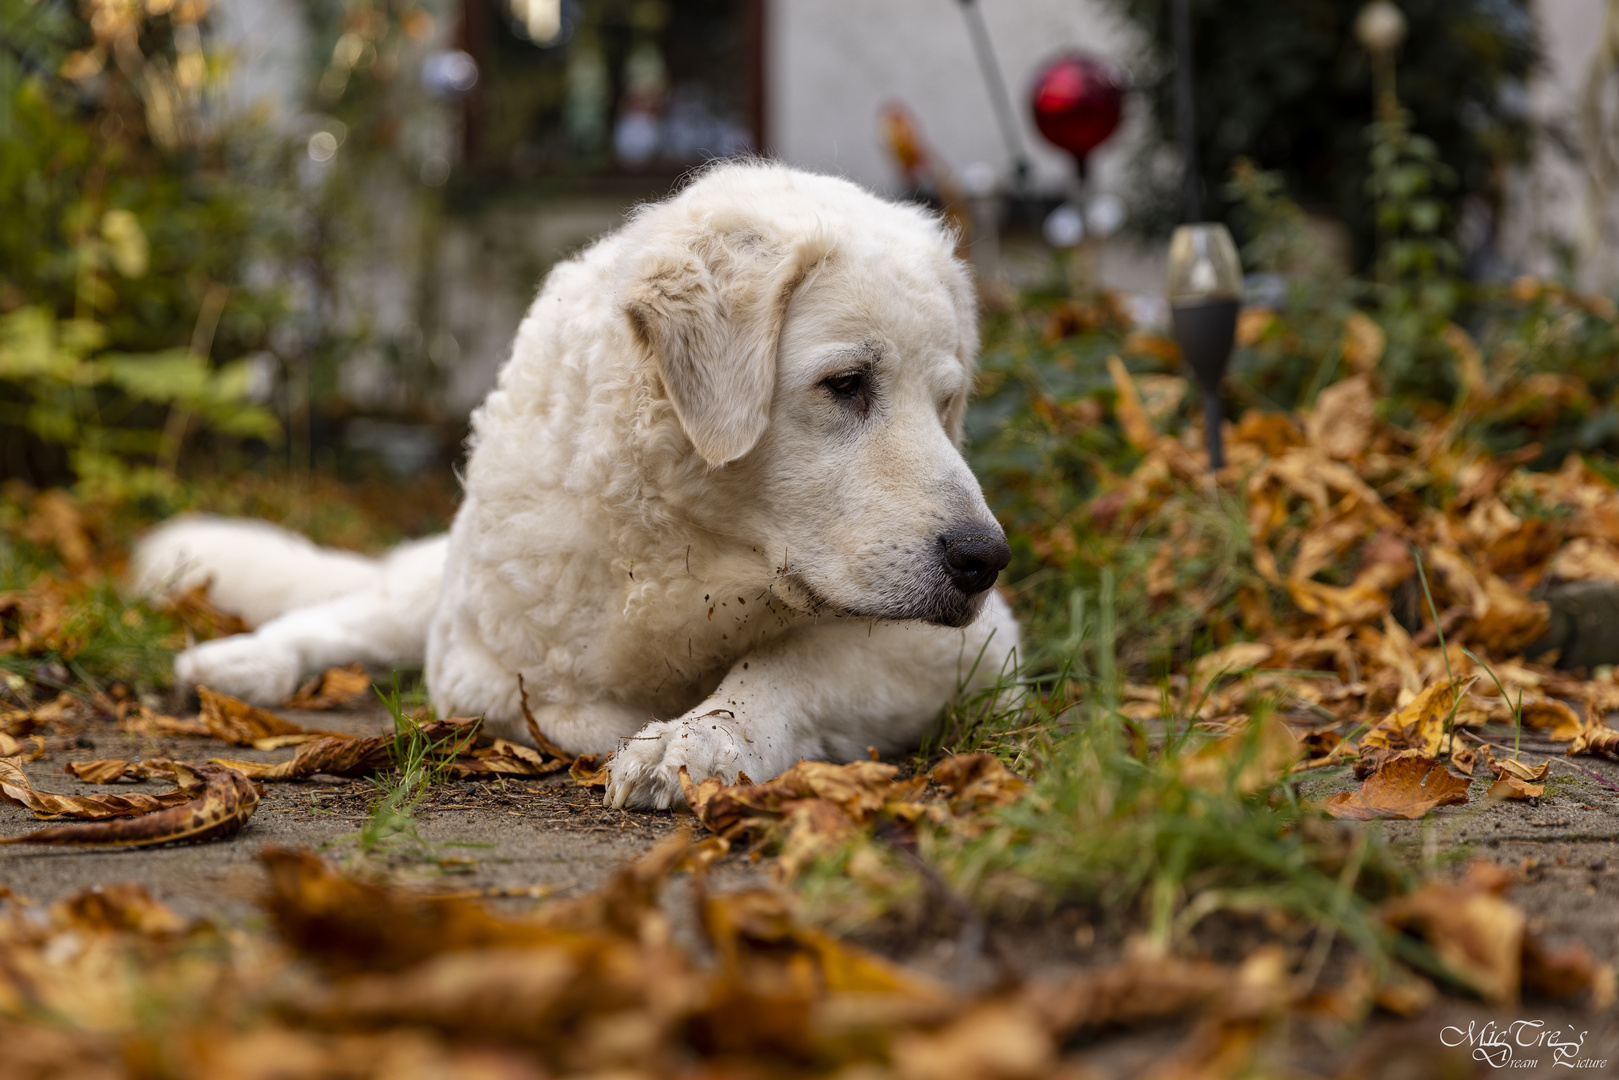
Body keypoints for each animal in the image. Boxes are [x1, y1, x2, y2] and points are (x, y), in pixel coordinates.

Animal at [135, 165, 1010, 806]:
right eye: (846, 384)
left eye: (945, 405)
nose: (984, 559)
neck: (697, 556)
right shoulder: (478, 664)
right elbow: (565, 713)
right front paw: (654, 728)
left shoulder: (967, 644)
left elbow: (783, 669)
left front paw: (694, 740)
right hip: (436, 598)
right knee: (344, 615)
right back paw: (242, 662)